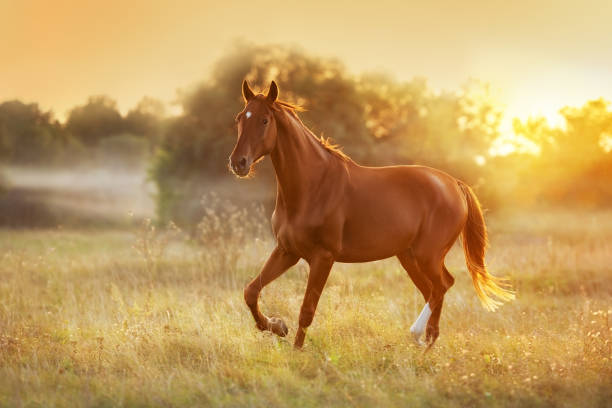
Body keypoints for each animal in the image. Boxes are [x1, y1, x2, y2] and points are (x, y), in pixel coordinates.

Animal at [228, 81, 512, 350]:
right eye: (240, 117)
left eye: (265, 120)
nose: (238, 163)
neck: (313, 186)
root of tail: (454, 184)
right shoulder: (287, 251)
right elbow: (250, 291)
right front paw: (277, 326)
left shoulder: (323, 258)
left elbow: (306, 311)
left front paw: (296, 352)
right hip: (409, 257)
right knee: (434, 290)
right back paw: (425, 343)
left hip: (427, 255)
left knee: (441, 286)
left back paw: (419, 335)